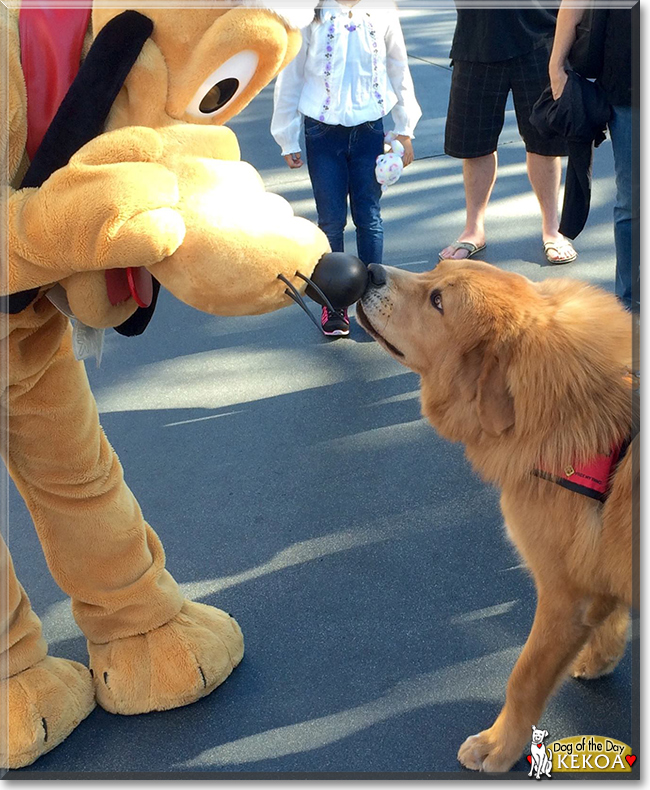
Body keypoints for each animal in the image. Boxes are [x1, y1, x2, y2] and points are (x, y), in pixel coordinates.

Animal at [354, 260, 632, 772]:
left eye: (438, 300)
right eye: (435, 269)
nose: (370, 270)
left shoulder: (563, 596)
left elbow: (522, 678)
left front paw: (499, 745)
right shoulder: (599, 567)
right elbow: (613, 614)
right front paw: (601, 658)